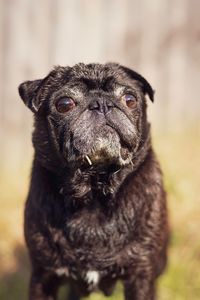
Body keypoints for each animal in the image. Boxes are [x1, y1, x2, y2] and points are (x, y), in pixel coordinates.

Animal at [18, 62, 169, 298]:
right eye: (64, 104)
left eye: (130, 99)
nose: (102, 104)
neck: (94, 191)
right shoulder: (44, 276)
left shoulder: (141, 275)